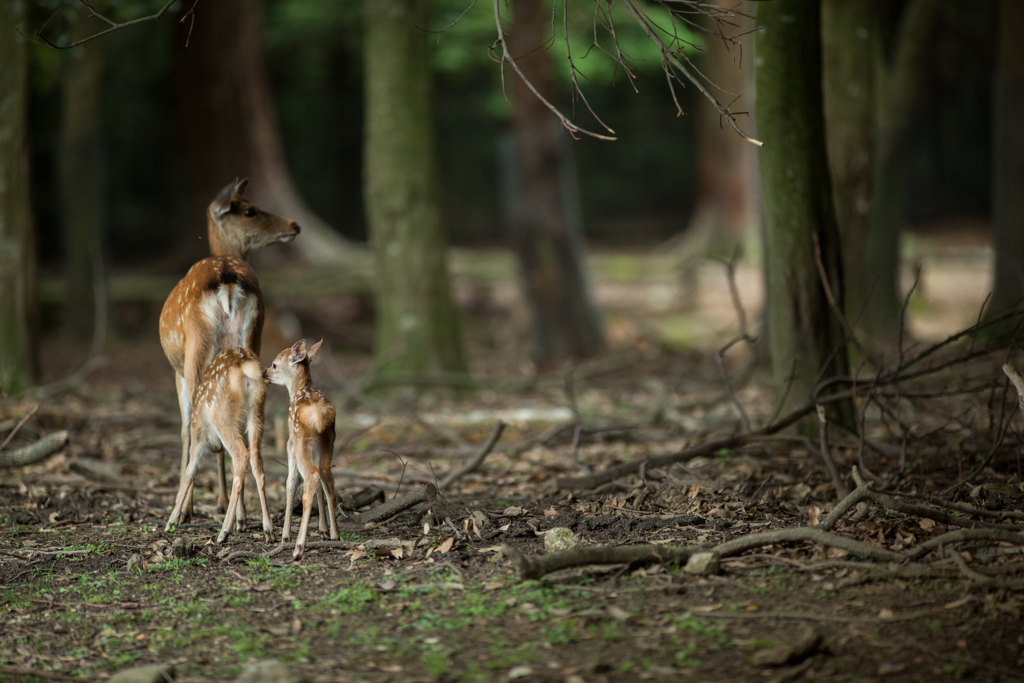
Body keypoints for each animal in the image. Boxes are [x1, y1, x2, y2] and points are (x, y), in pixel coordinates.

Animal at [157, 179, 299, 528]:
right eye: (250, 210)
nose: (294, 225)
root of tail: (226, 275)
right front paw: (229, 507)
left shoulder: (177, 372)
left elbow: (184, 430)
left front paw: (199, 505)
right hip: (253, 340)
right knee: (249, 430)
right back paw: (245, 515)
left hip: (195, 351)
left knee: (202, 421)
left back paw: (185, 511)